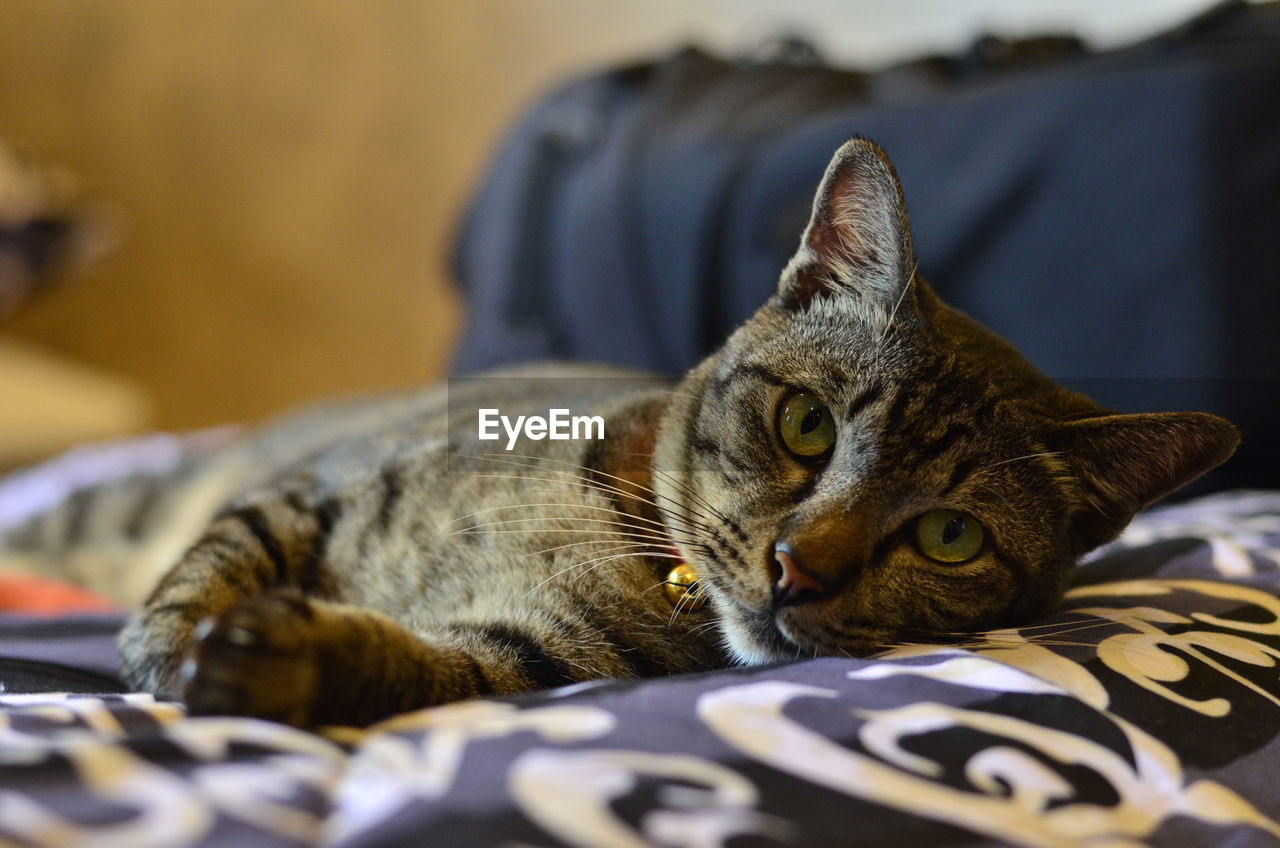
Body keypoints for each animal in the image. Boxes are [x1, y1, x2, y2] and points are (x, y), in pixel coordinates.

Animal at [0, 140, 1239, 732]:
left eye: (948, 537)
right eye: (805, 423)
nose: (796, 570)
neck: (635, 546)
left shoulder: (526, 658)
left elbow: (411, 667)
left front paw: (284, 658)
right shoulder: (310, 487)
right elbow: (220, 556)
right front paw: (170, 639)